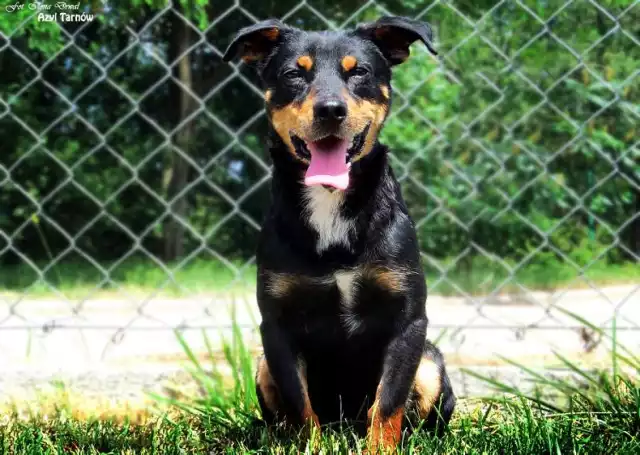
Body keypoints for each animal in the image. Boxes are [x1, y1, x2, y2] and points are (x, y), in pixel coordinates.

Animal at [225, 16, 456, 454]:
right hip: (263, 365)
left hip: (431, 362)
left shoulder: (408, 320)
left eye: (359, 71)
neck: (330, 204)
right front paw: (310, 445)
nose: (331, 110)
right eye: (294, 73)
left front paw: (380, 448)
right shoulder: (276, 326)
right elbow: (300, 405)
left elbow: (389, 401)